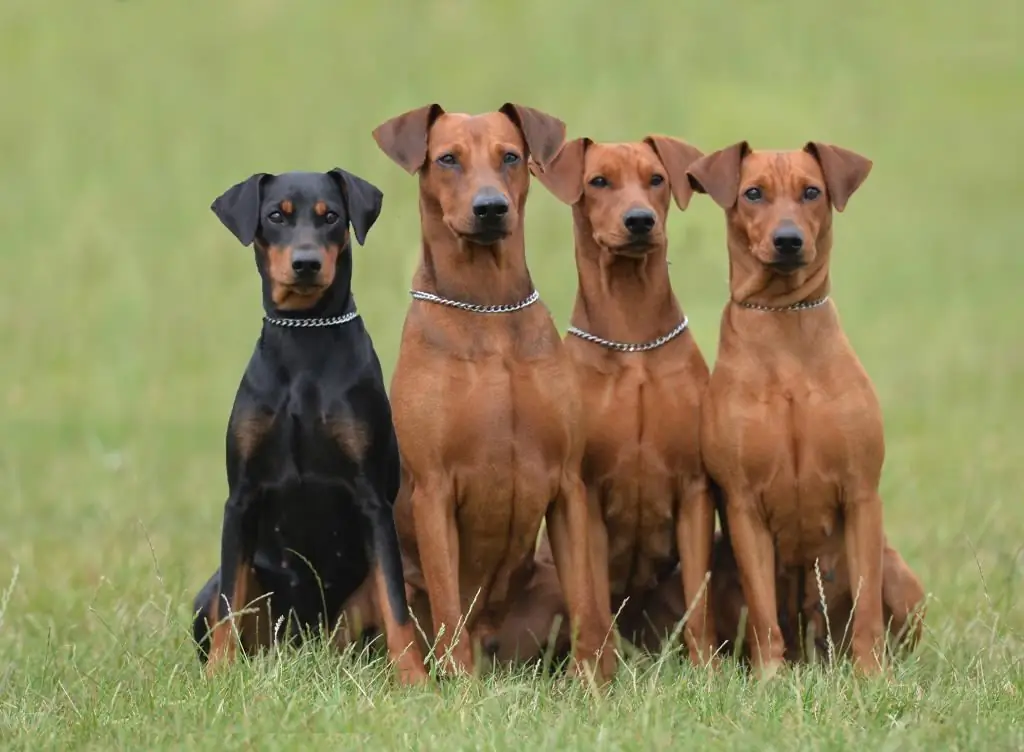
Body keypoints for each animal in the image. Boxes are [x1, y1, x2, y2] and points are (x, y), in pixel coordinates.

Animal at [191, 168, 428, 684]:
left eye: (331, 216)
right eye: (276, 216)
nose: (305, 264)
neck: (304, 342)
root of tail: (303, 641)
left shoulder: (372, 500)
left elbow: (397, 605)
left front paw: (414, 679)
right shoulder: (241, 499)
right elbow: (229, 607)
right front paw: (217, 676)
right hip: (217, 594)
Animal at [376, 101, 614, 684]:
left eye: (510, 157)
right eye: (447, 159)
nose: (490, 209)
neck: (487, 310)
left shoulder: (567, 485)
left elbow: (587, 607)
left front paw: (591, 689)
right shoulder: (433, 490)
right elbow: (447, 609)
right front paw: (459, 692)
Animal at [528, 137, 720, 663]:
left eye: (656, 179)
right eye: (598, 181)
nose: (639, 221)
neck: (633, 339)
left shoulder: (694, 488)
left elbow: (700, 607)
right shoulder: (586, 493)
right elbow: (591, 603)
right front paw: (596, 674)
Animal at [684, 141, 925, 676]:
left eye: (811, 192)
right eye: (753, 193)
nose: (789, 240)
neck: (783, 321)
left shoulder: (861, 494)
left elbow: (867, 609)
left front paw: (872, 677)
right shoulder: (743, 505)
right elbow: (763, 614)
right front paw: (769, 679)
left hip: (898, 573)